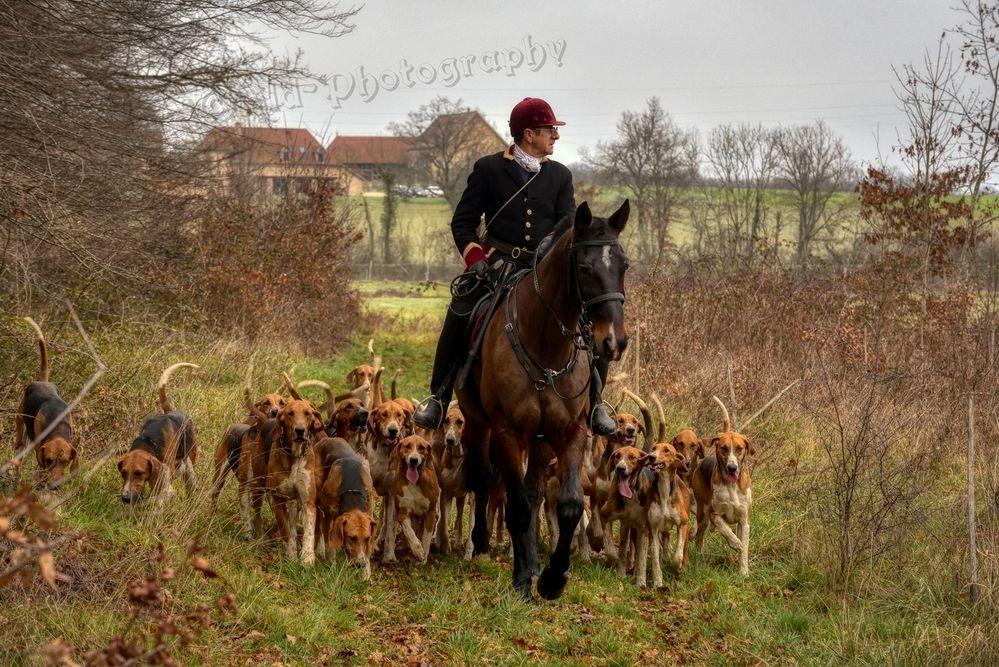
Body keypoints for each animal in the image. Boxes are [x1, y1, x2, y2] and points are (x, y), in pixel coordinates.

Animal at [458, 198, 628, 600]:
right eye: (584, 268)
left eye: (624, 265)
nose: (614, 342)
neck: (547, 347)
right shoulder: (506, 432)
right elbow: (517, 506)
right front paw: (522, 581)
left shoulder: (569, 433)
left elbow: (568, 506)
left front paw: (552, 577)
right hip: (477, 422)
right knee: (482, 476)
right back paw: (482, 543)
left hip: (540, 441)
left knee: (534, 490)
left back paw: (534, 561)